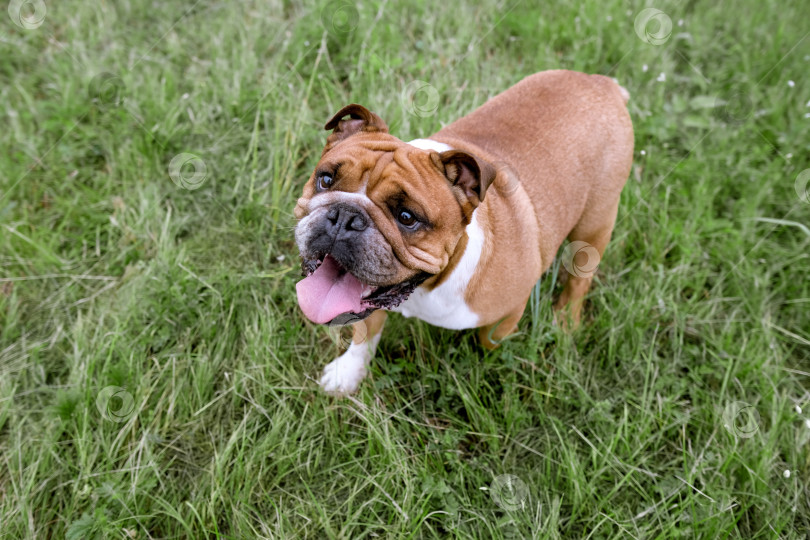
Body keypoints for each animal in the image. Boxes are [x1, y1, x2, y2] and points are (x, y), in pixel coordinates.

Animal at [294, 69, 636, 394]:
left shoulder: (509, 311)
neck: (429, 285)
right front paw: (347, 373)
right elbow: (364, 333)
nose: (345, 217)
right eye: (326, 179)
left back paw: (565, 322)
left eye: (406, 217)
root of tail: (601, 83)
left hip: (595, 223)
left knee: (581, 278)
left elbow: (489, 341)